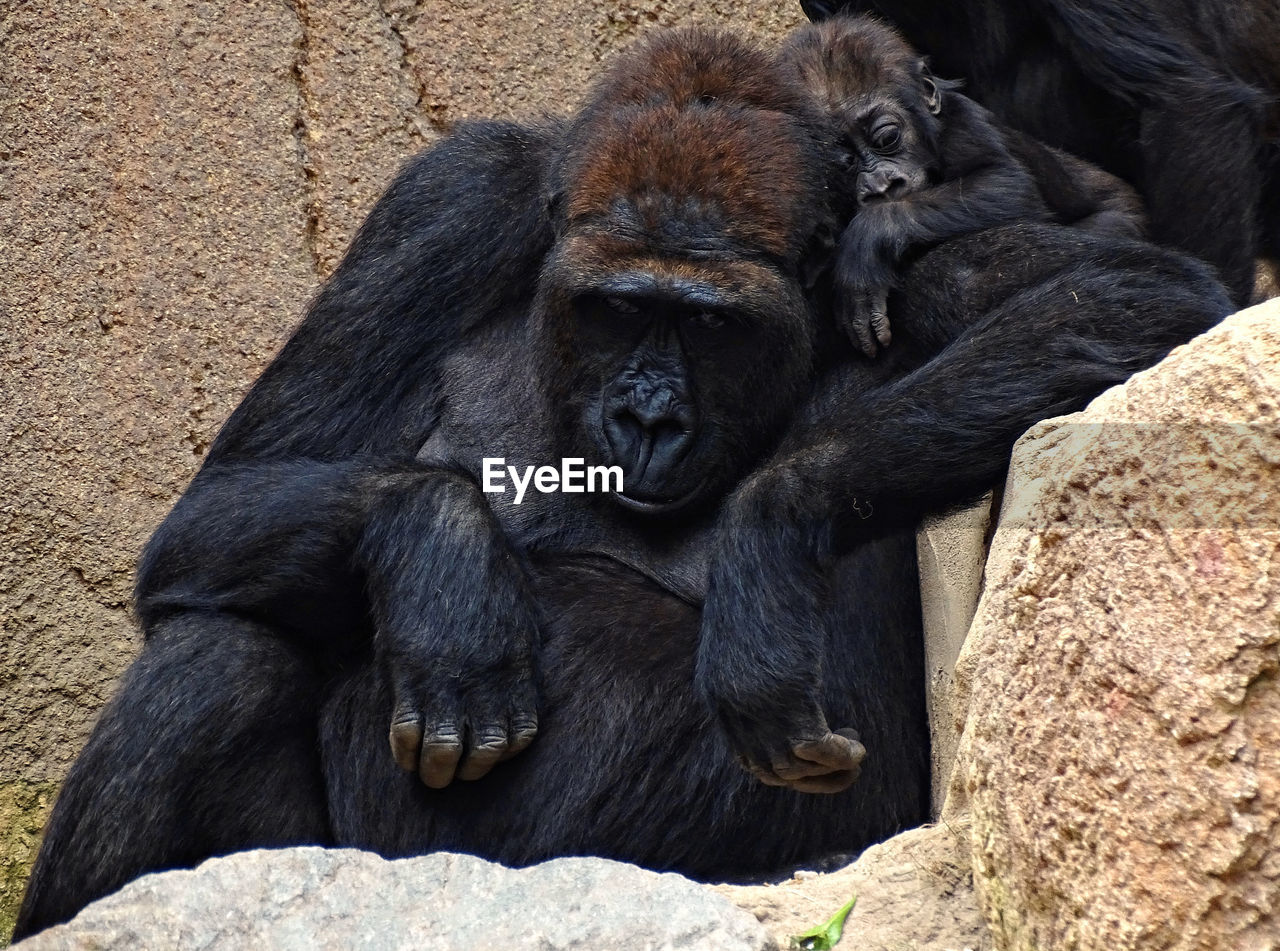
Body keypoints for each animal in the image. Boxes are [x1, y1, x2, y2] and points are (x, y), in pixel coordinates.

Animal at [778, 14, 1152, 358]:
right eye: (845, 162)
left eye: (886, 137)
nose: (881, 186)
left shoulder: (963, 122)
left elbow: (1005, 183)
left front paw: (868, 240)